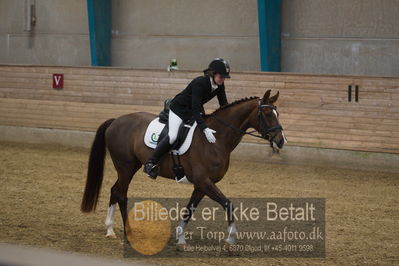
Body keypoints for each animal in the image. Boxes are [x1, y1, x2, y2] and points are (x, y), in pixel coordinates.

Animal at [81, 90, 286, 247]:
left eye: (277, 114)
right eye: (268, 114)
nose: (281, 141)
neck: (216, 140)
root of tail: (116, 120)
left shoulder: (202, 185)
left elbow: (189, 210)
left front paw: (180, 239)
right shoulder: (204, 182)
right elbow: (228, 204)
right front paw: (230, 239)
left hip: (130, 167)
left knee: (115, 190)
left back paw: (109, 229)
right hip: (125, 166)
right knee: (121, 194)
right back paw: (128, 232)